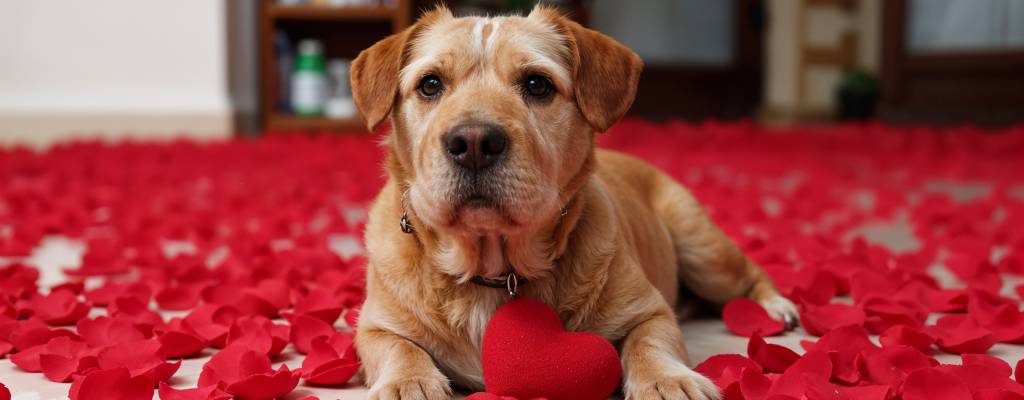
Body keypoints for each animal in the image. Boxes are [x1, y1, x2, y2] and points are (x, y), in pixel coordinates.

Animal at [352, 6, 798, 400]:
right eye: (430, 84)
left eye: (537, 84)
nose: (474, 142)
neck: (493, 271)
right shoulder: (373, 326)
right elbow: (399, 347)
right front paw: (407, 382)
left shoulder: (651, 312)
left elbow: (647, 343)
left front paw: (667, 380)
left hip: (704, 252)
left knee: (750, 273)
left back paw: (775, 308)